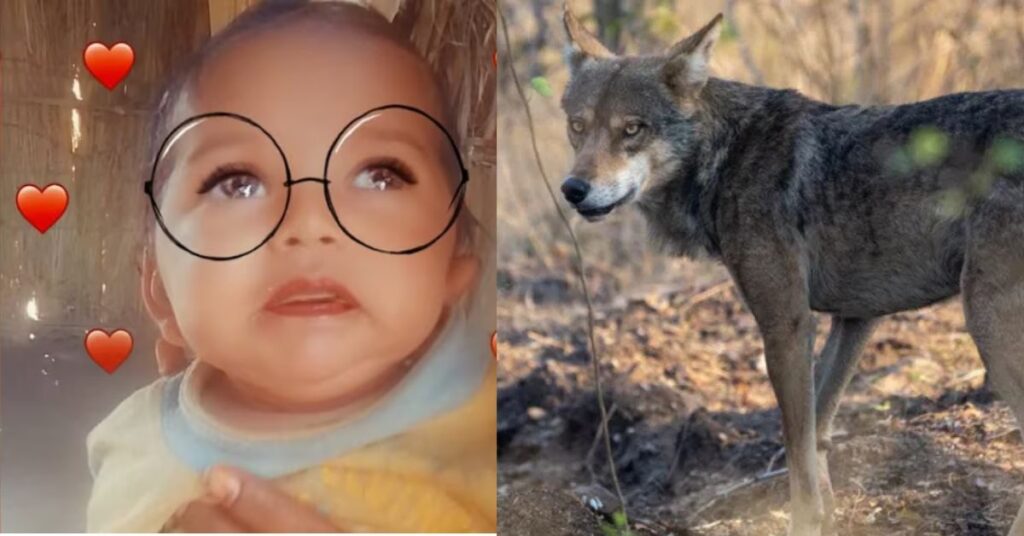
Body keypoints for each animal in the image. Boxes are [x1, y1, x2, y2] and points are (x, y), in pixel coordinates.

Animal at [558, 5, 1024, 535]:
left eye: (632, 129)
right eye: (578, 126)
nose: (573, 189)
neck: (725, 156)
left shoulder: (786, 324)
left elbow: (797, 453)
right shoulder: (856, 318)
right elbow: (816, 436)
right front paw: (829, 518)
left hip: (986, 323)